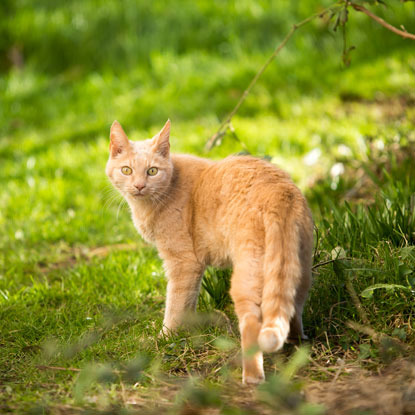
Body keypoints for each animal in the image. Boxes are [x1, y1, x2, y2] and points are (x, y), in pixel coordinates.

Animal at [105, 118, 314, 386]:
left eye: (152, 171)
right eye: (127, 170)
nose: (139, 186)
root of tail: (279, 193)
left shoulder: (183, 264)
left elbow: (175, 304)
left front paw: (165, 338)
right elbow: (189, 302)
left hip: (247, 277)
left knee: (252, 324)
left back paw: (252, 377)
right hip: (299, 268)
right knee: (292, 308)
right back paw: (296, 343)